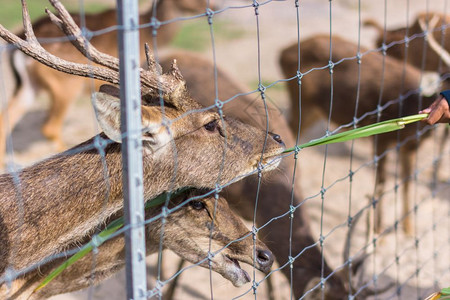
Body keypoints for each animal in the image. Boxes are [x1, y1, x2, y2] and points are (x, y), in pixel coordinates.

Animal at [280, 34, 442, 237]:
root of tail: (282, 52)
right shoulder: (381, 138)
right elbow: (382, 181)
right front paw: (378, 231)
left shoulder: (410, 145)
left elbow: (407, 181)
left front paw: (409, 229)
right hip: (302, 103)